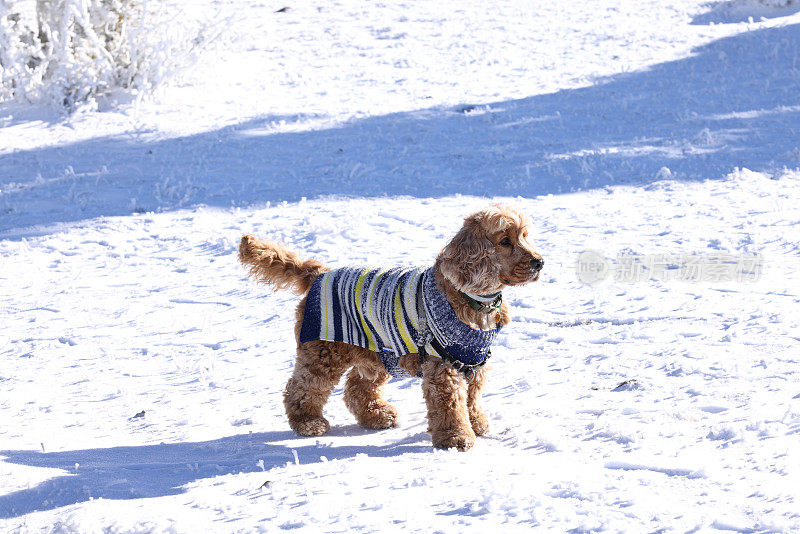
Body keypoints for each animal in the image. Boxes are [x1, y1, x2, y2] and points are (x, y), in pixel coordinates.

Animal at [239, 205, 544, 452]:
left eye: (525, 236)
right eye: (505, 241)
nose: (539, 261)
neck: (472, 300)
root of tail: (319, 273)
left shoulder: (474, 360)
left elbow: (472, 398)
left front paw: (477, 424)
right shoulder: (443, 365)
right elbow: (450, 404)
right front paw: (455, 437)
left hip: (377, 351)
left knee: (357, 388)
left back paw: (376, 415)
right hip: (324, 353)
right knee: (301, 388)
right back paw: (308, 422)